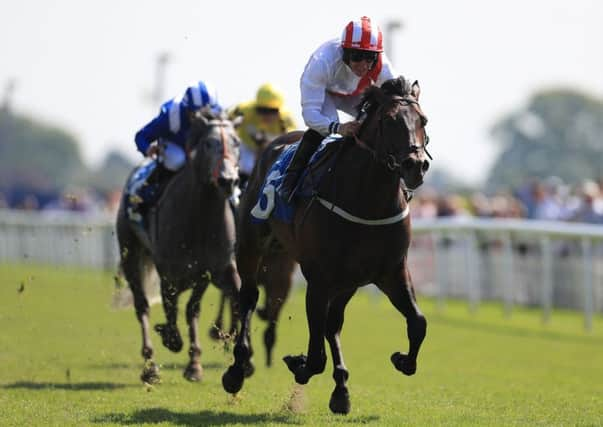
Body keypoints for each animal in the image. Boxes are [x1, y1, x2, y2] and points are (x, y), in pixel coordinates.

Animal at [115, 110, 241, 384]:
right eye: (208, 143)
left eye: (237, 142)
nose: (227, 180)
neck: (200, 220)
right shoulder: (169, 274)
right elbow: (171, 314)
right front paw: (169, 337)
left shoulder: (214, 270)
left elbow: (198, 308)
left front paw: (197, 364)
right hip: (130, 254)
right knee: (142, 306)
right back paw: (150, 367)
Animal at [224, 77, 432, 414]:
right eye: (389, 121)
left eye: (423, 120)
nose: (417, 165)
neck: (367, 201)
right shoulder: (319, 279)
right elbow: (315, 355)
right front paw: (299, 363)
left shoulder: (390, 272)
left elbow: (418, 322)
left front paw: (403, 360)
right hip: (251, 246)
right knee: (249, 297)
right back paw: (236, 370)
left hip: (346, 281)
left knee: (333, 324)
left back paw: (341, 389)